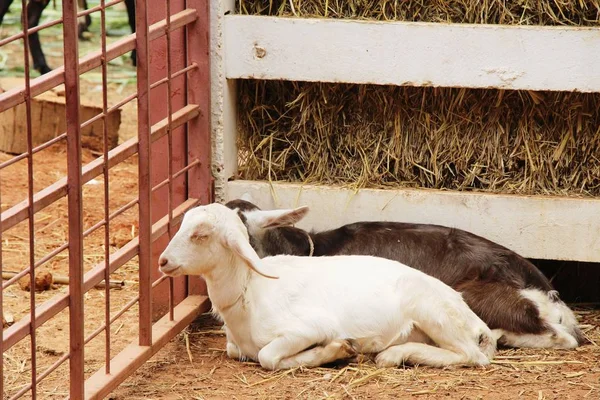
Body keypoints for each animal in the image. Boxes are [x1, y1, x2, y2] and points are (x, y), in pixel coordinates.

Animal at [159, 205, 496, 370]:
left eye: (201, 234)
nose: (163, 261)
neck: (249, 295)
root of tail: (476, 321)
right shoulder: (234, 346)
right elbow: (234, 351)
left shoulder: (309, 327)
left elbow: (268, 357)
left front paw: (336, 350)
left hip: (432, 311)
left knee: (470, 356)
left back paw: (393, 355)